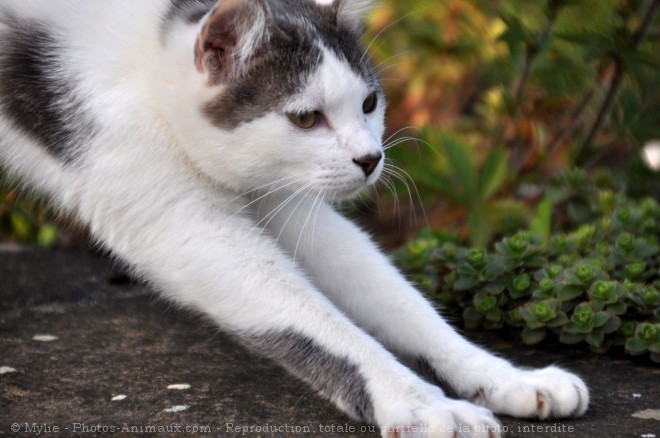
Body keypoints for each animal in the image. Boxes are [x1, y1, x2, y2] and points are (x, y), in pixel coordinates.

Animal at [0, 1, 588, 436]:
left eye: (369, 103)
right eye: (306, 118)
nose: (370, 158)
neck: (147, 73)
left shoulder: (282, 195)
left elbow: (398, 300)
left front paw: (503, 376)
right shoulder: (173, 216)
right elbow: (316, 323)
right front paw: (418, 401)